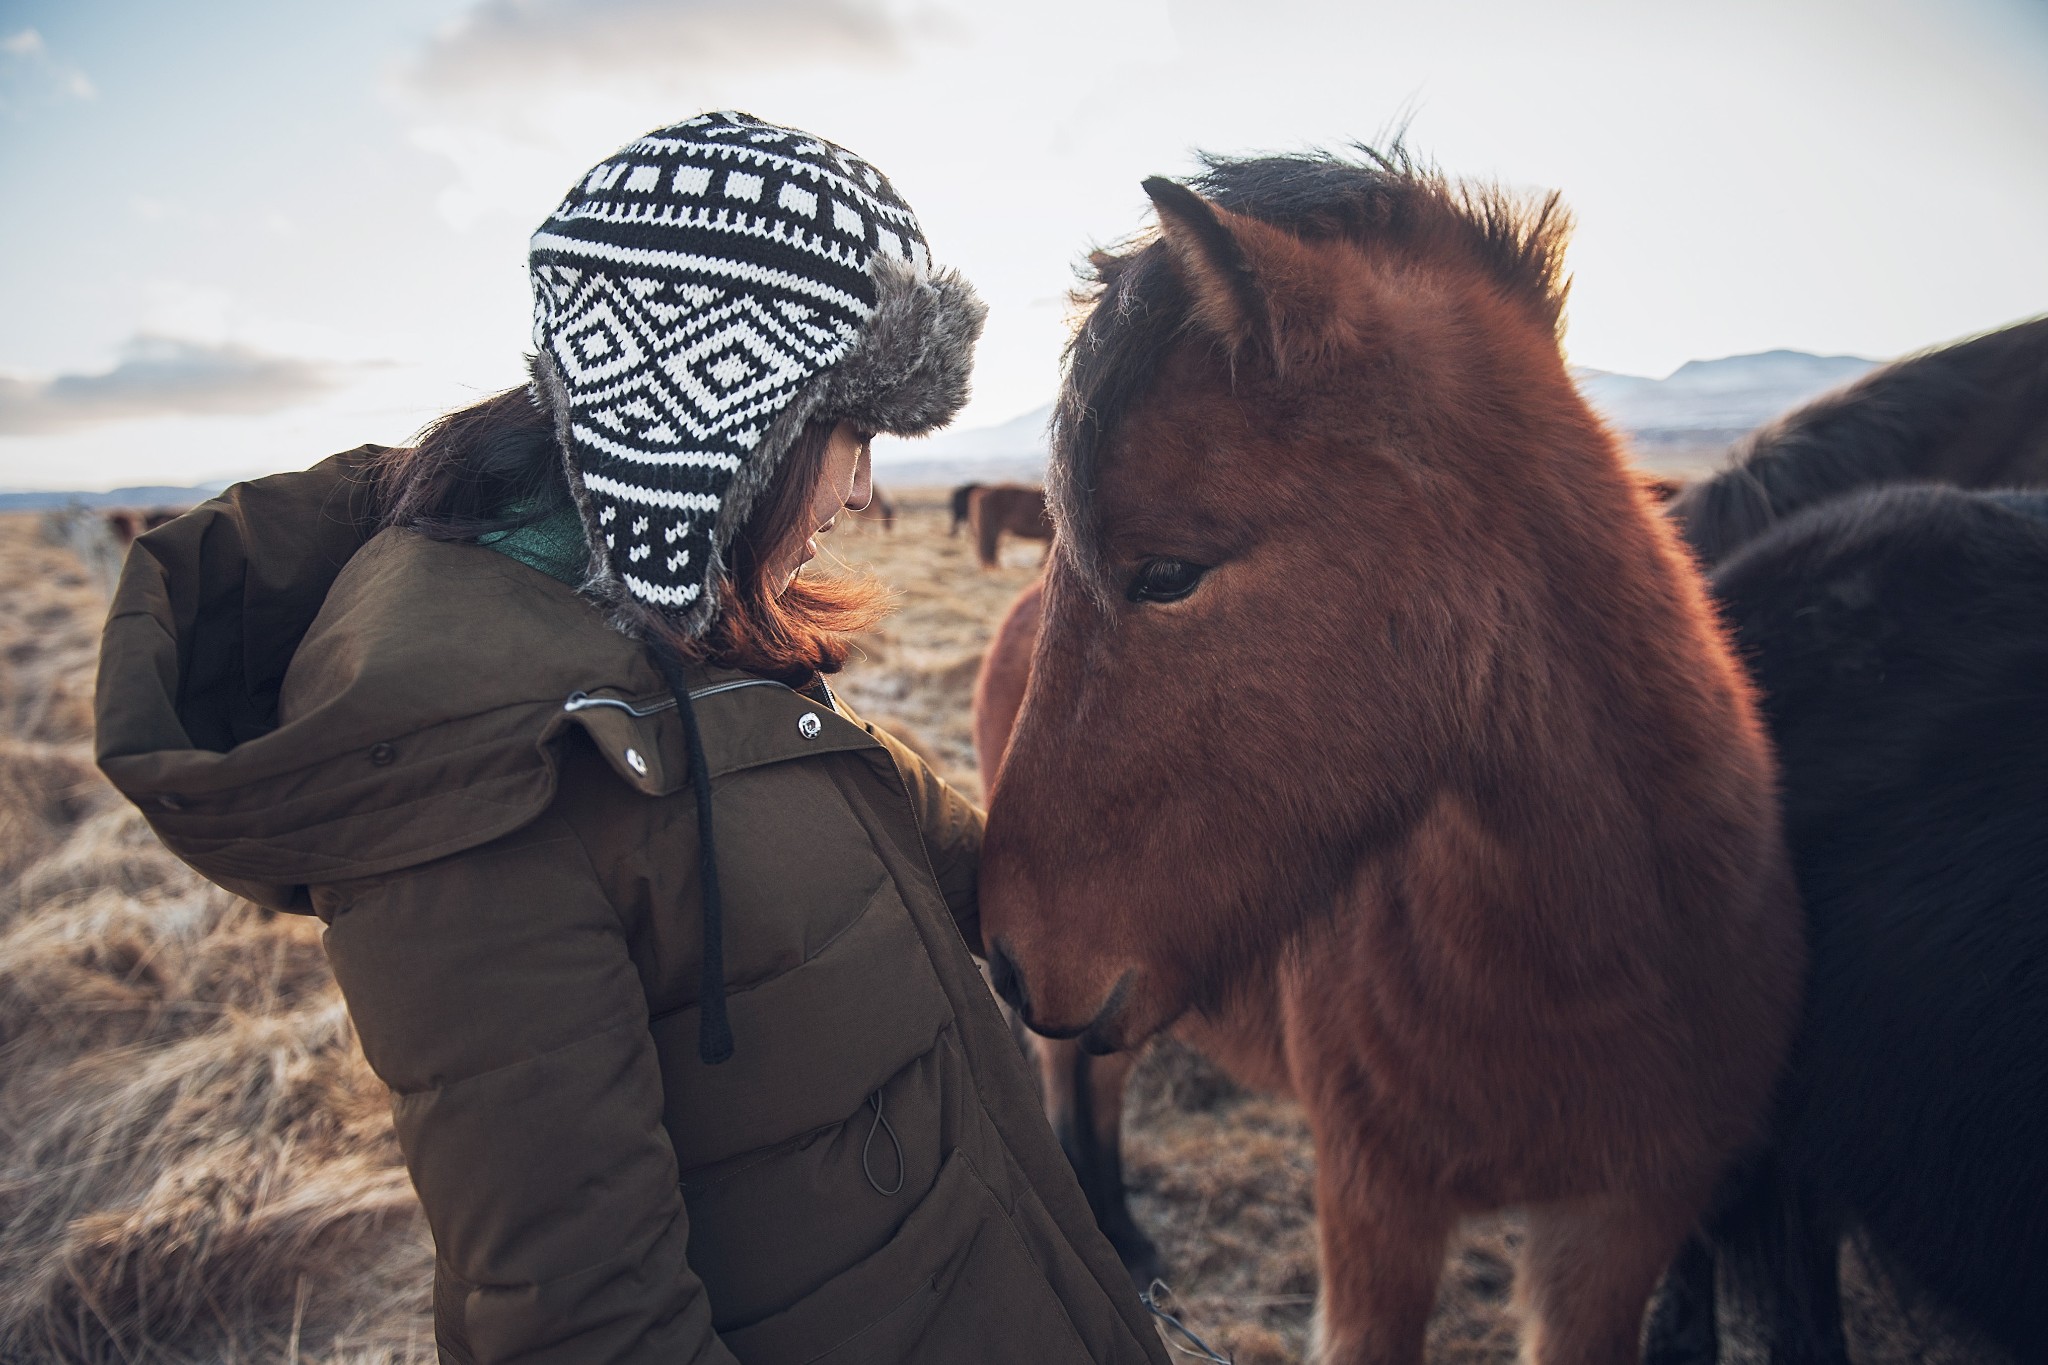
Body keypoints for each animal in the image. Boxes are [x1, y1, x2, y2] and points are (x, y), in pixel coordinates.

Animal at [970, 152, 1794, 1365]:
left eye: (1166, 573)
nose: (1008, 954)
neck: (1593, 963)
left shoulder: (1616, 1229)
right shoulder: (1376, 1210)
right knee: (1076, 1076)